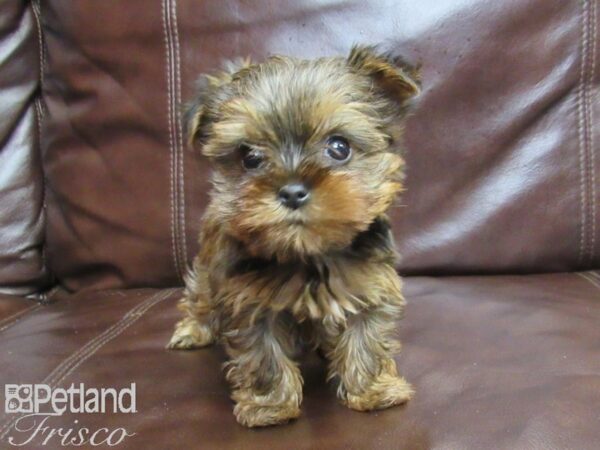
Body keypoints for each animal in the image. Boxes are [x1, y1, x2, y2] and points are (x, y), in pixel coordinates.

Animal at [169, 46, 420, 428]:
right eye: (250, 156)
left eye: (339, 147)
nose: (291, 191)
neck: (309, 254)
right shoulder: (248, 301)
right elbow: (264, 354)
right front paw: (269, 406)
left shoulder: (372, 285)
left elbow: (367, 336)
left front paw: (373, 390)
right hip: (208, 269)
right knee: (200, 296)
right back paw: (192, 330)